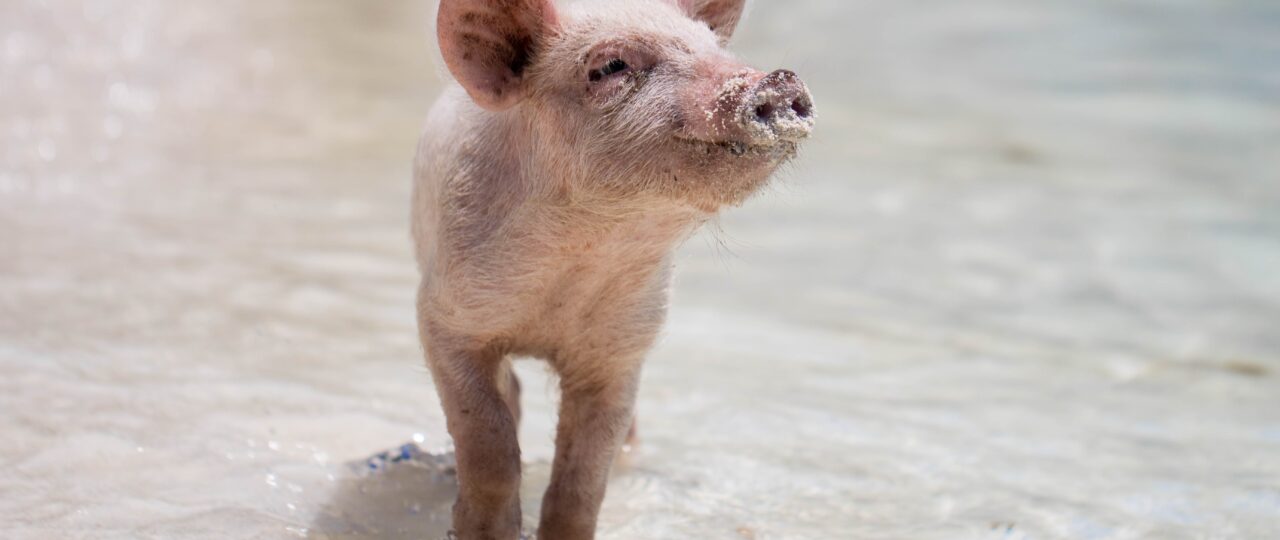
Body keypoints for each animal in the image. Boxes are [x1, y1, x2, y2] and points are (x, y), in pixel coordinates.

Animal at [411, 0, 814, 537]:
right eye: (609, 67)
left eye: (713, 47)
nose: (779, 80)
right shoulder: (444, 319)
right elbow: (489, 444)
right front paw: (480, 530)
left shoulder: (623, 348)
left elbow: (582, 481)